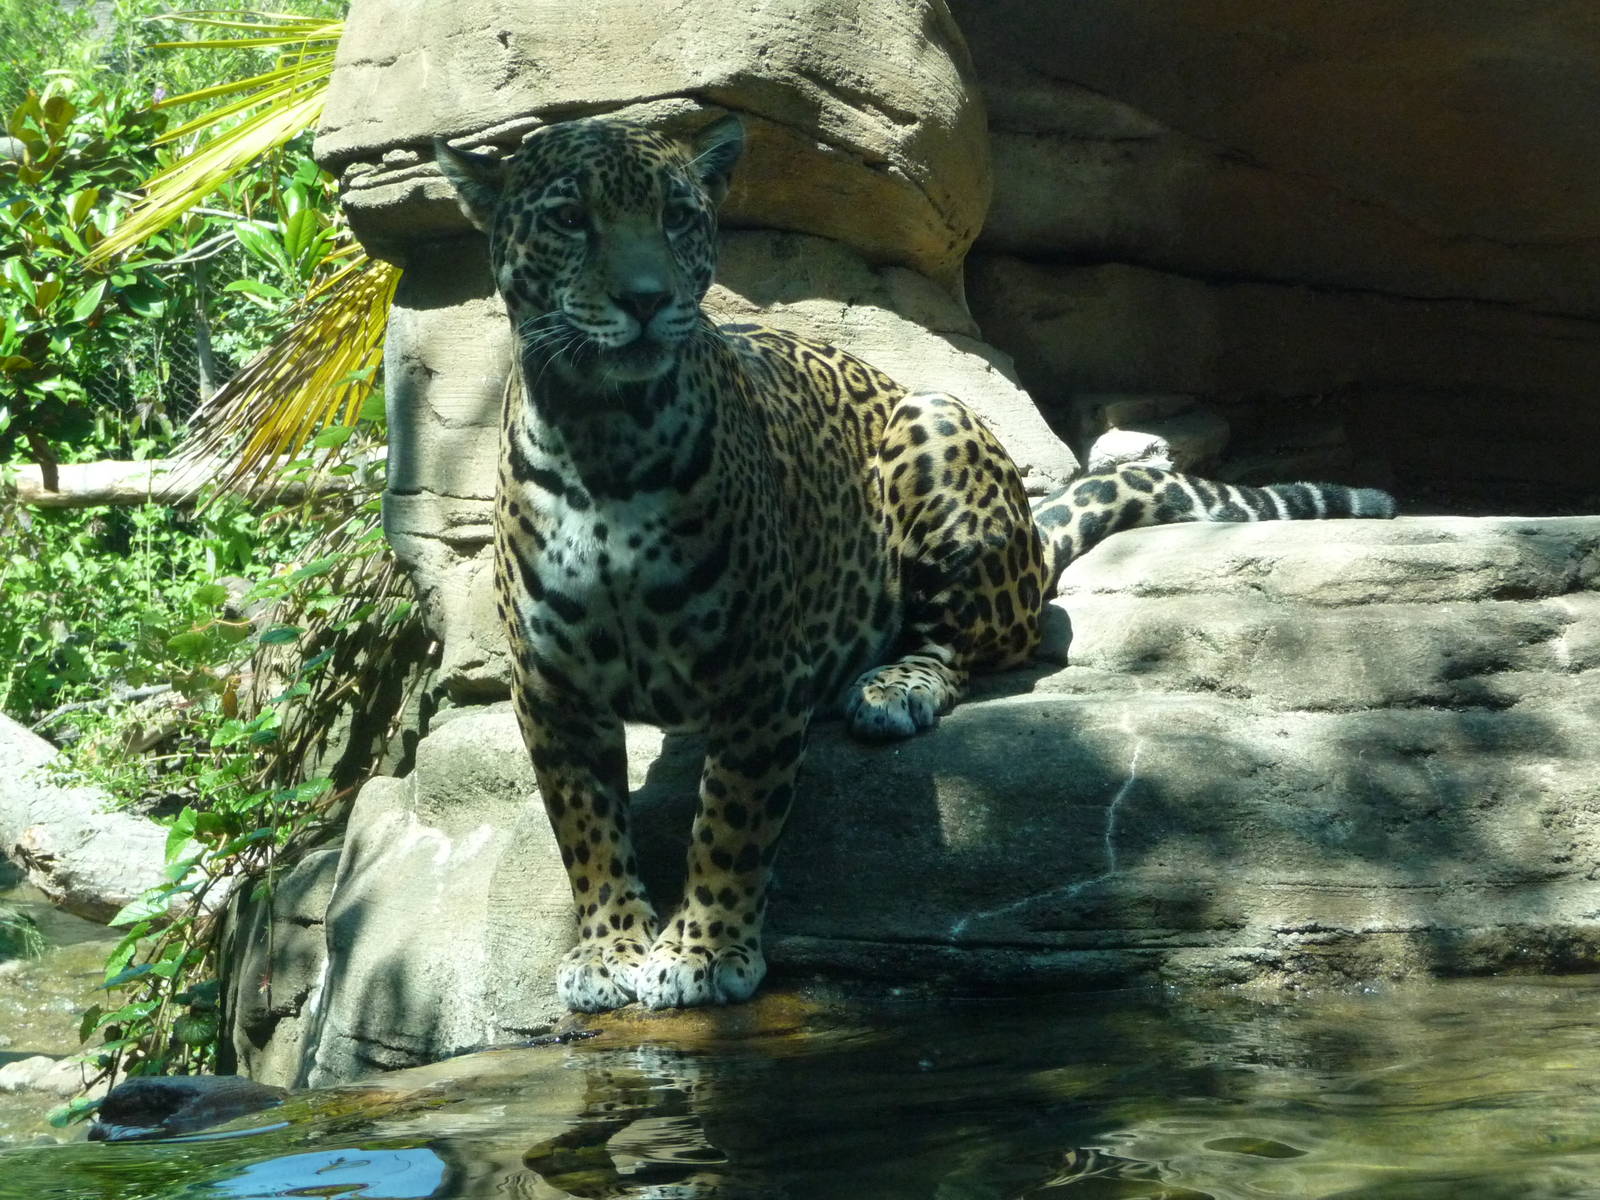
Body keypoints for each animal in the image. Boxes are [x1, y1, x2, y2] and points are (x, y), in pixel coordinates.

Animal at [434, 113, 1396, 1013]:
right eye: (569, 218)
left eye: (677, 217)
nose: (644, 298)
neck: (604, 439)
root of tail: (1030, 533)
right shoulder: (550, 687)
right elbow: (585, 829)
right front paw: (609, 952)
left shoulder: (759, 674)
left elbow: (733, 820)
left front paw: (705, 952)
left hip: (937, 427)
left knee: (970, 644)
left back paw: (890, 689)